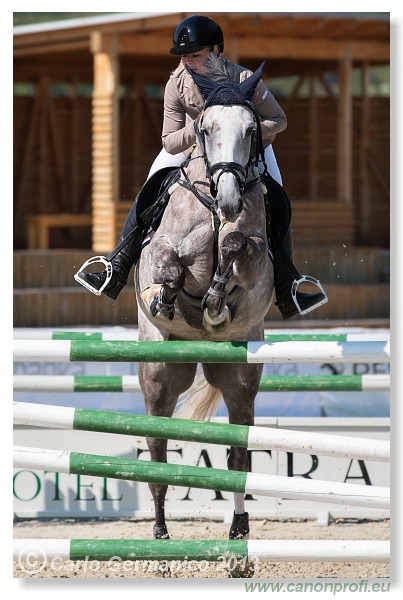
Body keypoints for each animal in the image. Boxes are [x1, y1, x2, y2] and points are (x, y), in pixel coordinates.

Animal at [136, 64, 274, 552]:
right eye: (206, 128)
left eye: (251, 129)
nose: (230, 201)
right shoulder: (160, 247)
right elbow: (170, 265)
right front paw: (166, 296)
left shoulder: (257, 256)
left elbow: (234, 246)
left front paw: (215, 301)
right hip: (159, 374)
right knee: (157, 450)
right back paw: (159, 531)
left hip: (240, 376)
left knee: (238, 454)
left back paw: (239, 528)